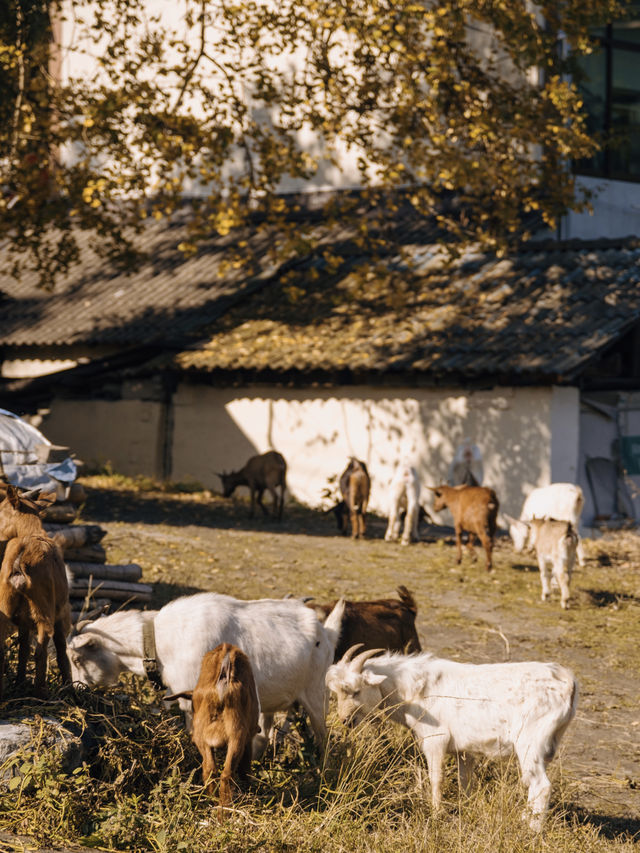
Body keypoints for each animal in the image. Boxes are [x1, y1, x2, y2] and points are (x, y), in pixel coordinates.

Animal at [0, 486, 72, 700]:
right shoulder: (61, 613)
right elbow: (61, 650)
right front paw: (70, 689)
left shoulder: (23, 619)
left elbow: (23, 648)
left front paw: (20, 681)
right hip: (44, 608)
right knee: (42, 648)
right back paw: (41, 693)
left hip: (6, 603)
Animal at [67, 588, 344, 756]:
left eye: (76, 659)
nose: (76, 691)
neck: (159, 638)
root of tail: (327, 632)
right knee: (265, 734)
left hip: (316, 695)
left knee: (324, 738)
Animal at [169, 644, 264, 820]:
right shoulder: (248, 737)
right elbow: (245, 768)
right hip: (236, 736)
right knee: (227, 773)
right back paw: (224, 812)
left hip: (202, 736)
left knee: (209, 769)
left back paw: (212, 803)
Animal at [328, 644, 576, 828]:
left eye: (355, 690)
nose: (345, 720)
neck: (415, 687)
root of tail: (568, 682)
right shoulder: (464, 751)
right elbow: (465, 781)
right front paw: (465, 810)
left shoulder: (435, 740)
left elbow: (436, 778)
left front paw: (436, 814)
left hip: (530, 743)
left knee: (542, 786)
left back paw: (531, 829)